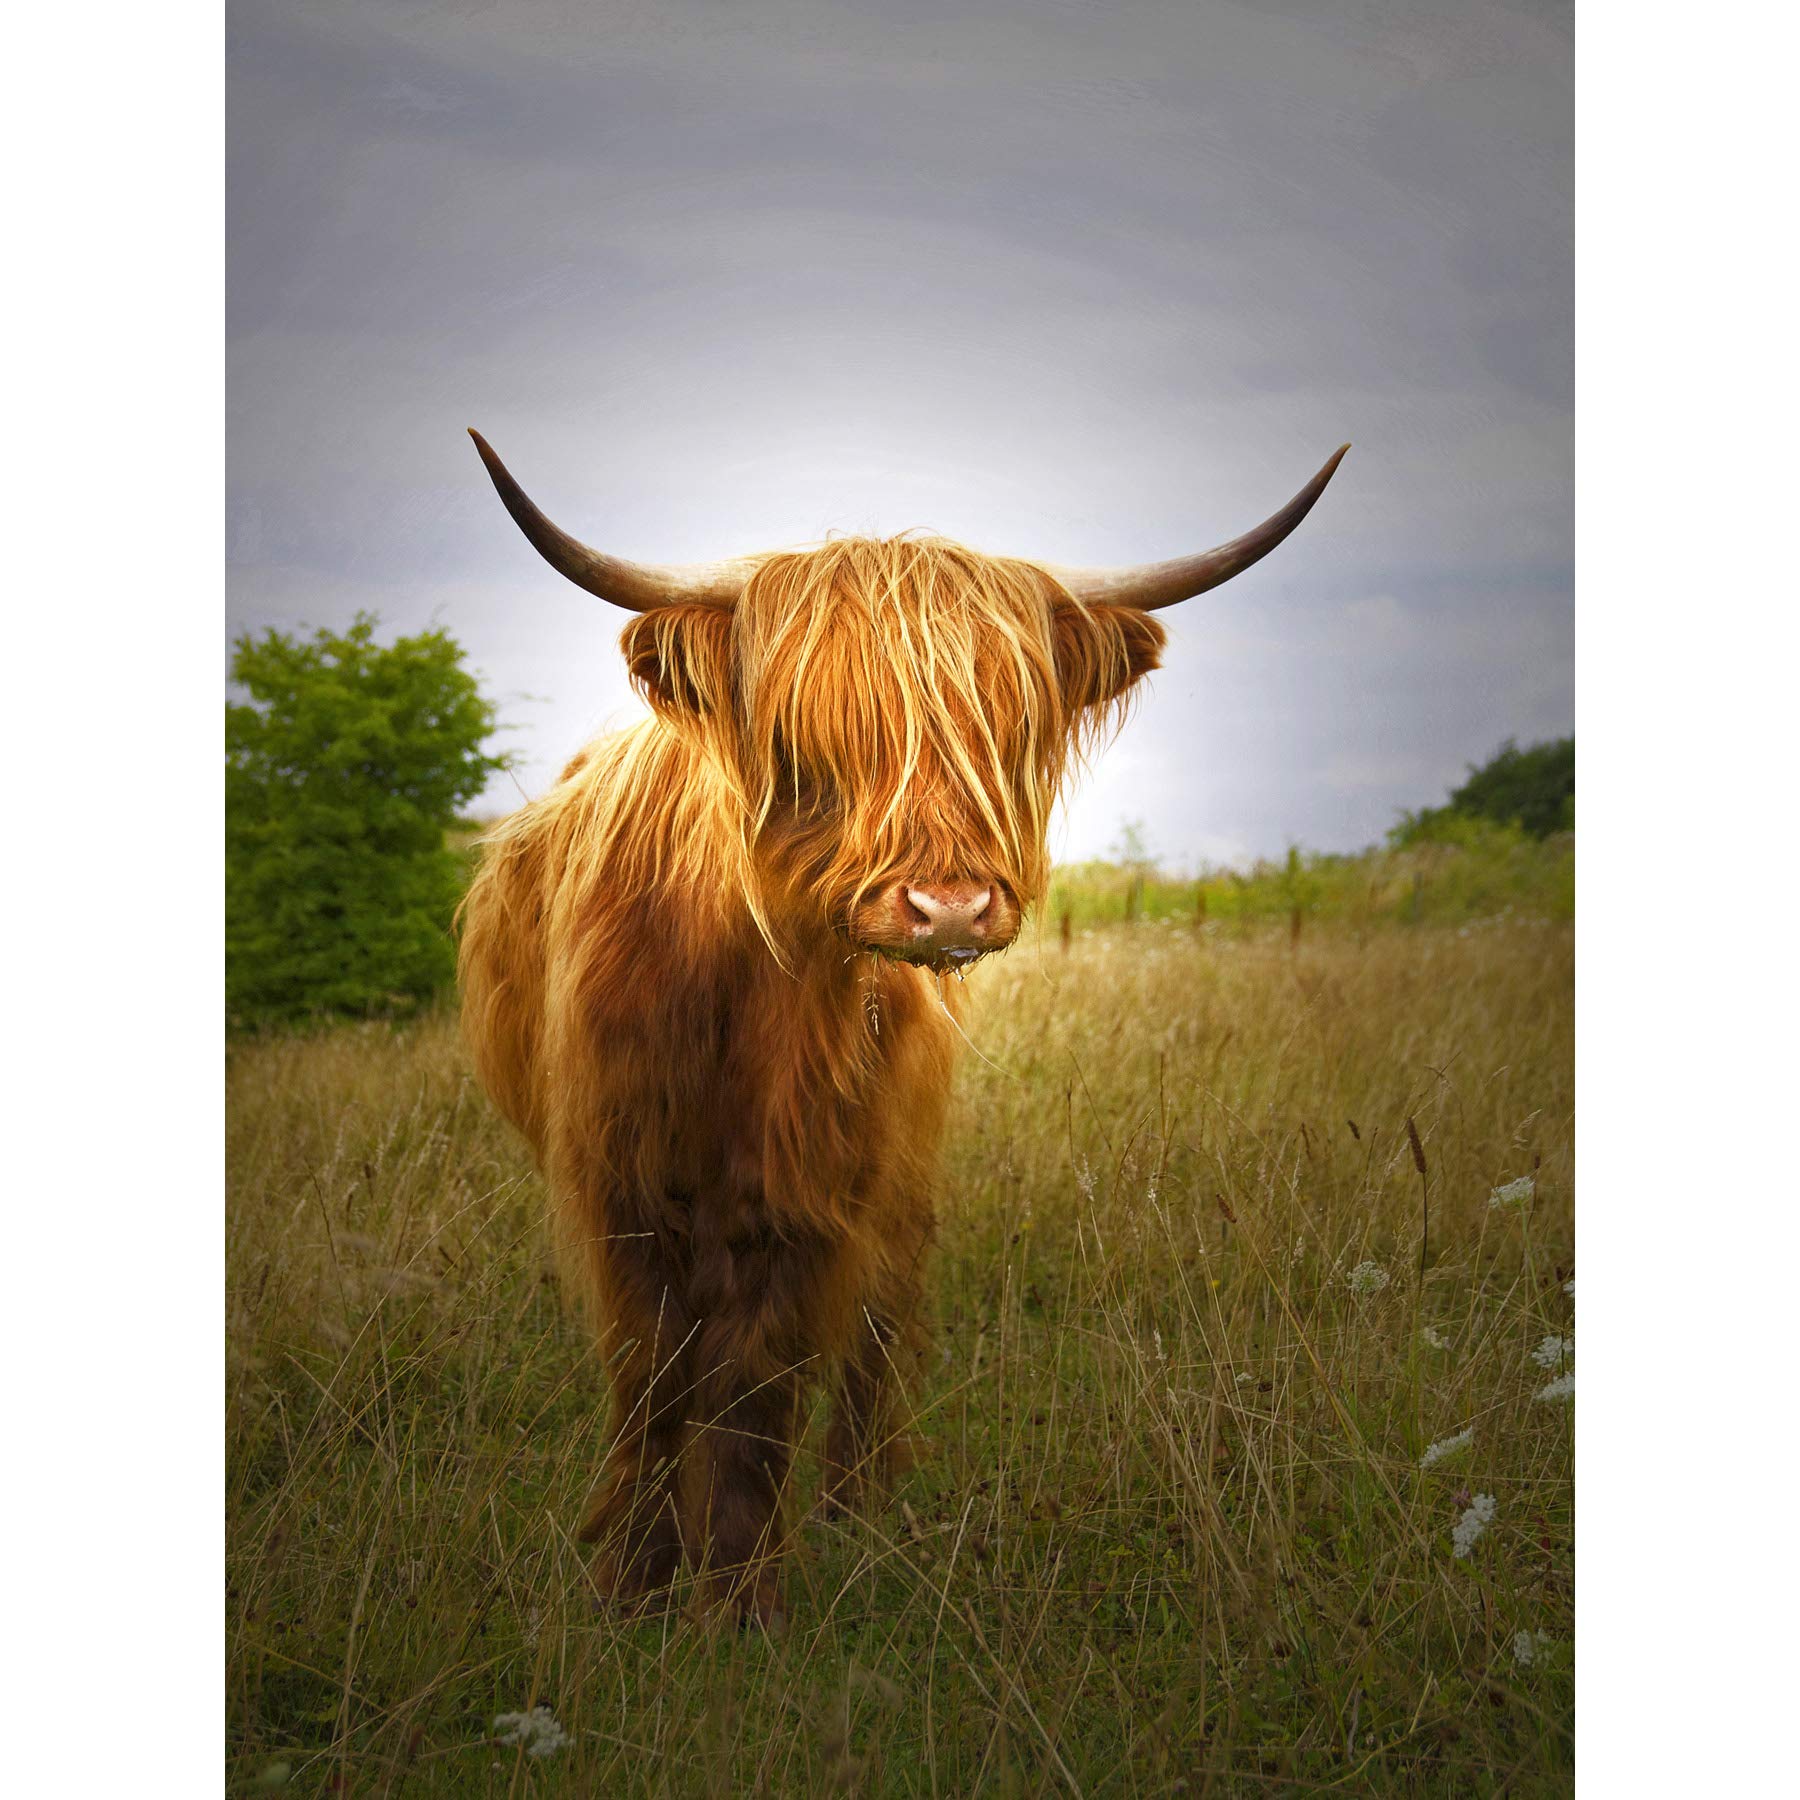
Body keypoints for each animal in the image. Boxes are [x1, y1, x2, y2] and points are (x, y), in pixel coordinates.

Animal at [457, 430, 1346, 1625]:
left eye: (1008, 726)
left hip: (903, 1170)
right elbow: (651, 1377)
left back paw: (858, 1512)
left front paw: (739, 1599)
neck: (741, 1008)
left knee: (879, 1327)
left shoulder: (810, 1189)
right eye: (811, 730)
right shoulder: (620, 1181)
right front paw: (634, 1586)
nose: (951, 909)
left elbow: (756, 1382)